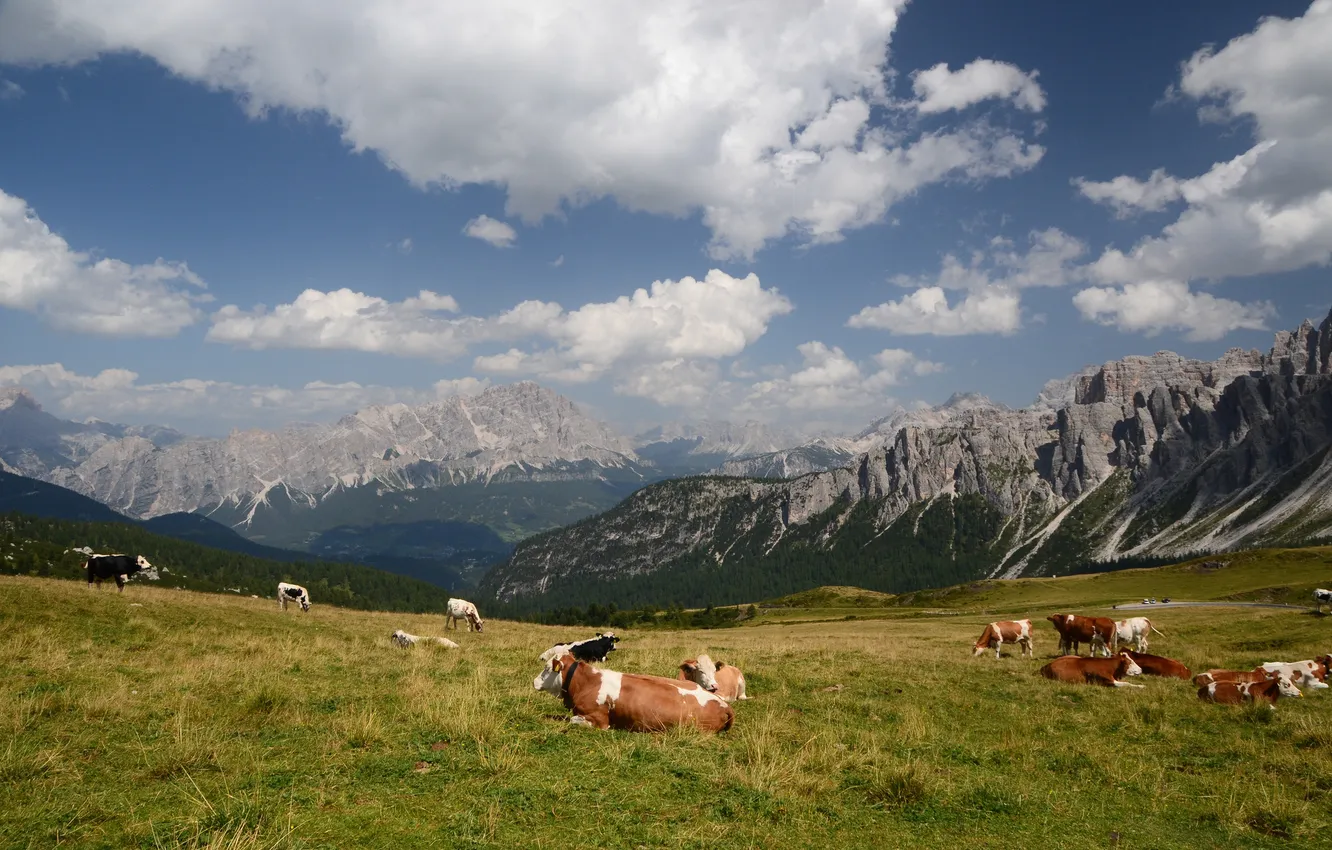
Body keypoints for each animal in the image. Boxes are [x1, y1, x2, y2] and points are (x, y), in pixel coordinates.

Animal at [533, 652, 734, 732]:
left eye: (546, 668)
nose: (534, 681)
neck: (587, 682)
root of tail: (724, 704)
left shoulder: (599, 720)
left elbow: (573, 720)